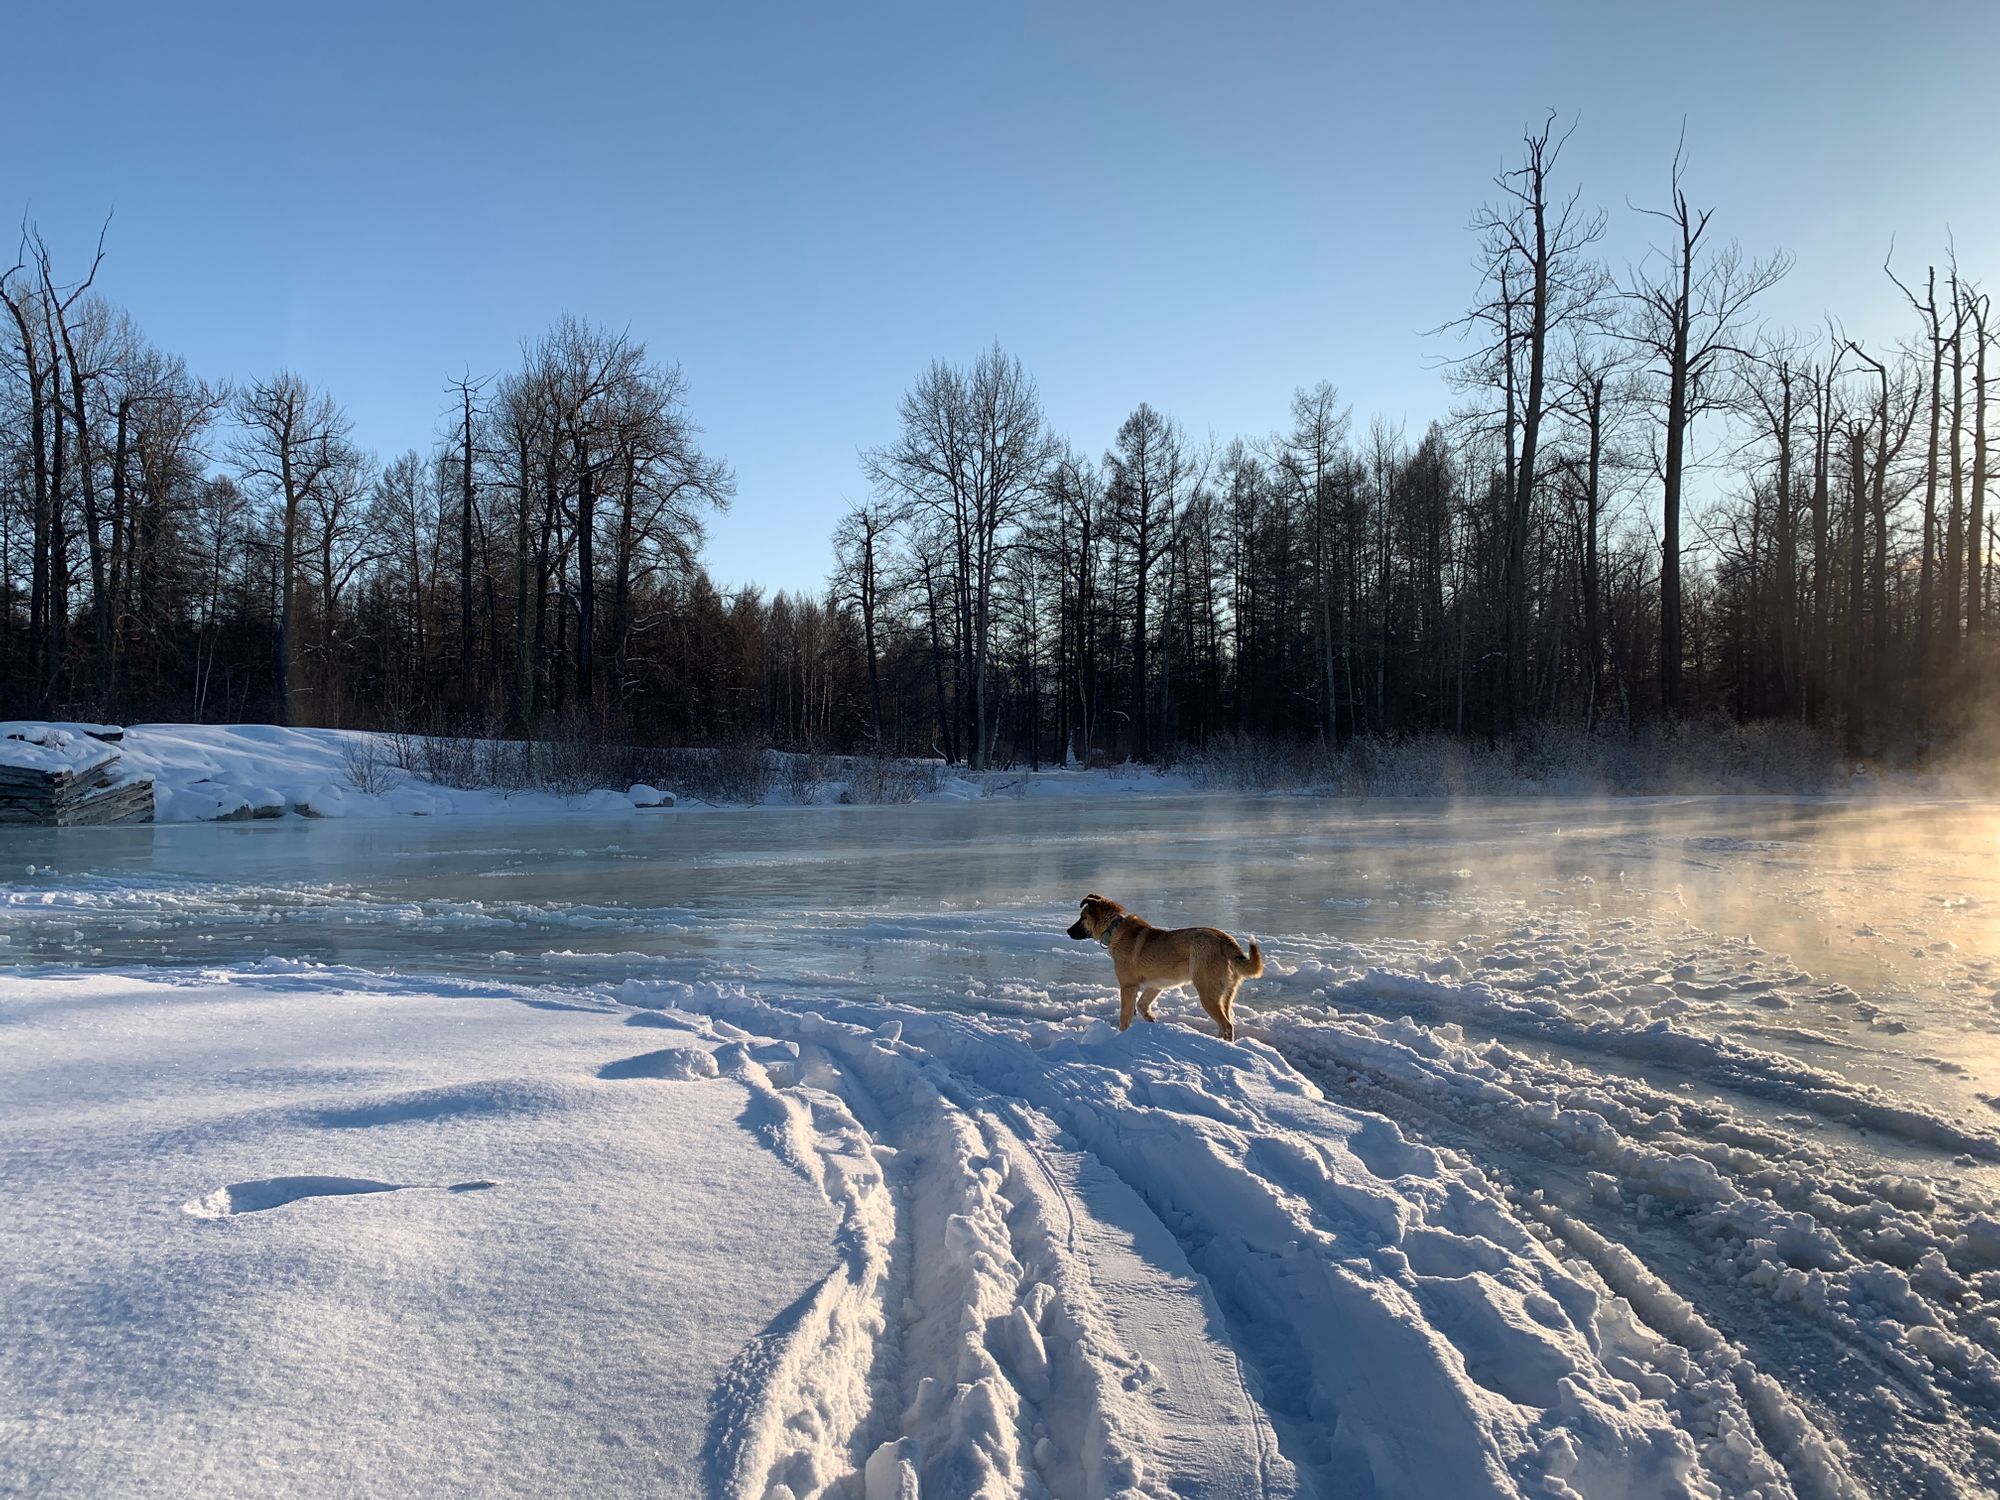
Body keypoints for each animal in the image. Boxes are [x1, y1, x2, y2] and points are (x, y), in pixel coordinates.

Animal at [1064, 892, 1264, 1048]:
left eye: (1082, 917)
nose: (1067, 932)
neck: (1114, 929)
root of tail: (1227, 942)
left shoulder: (1128, 986)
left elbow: (1125, 1017)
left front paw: (1120, 1038)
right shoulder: (1155, 985)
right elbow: (1141, 1005)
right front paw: (1151, 1021)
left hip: (1207, 993)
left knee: (1227, 1025)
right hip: (1224, 995)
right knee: (1227, 1023)